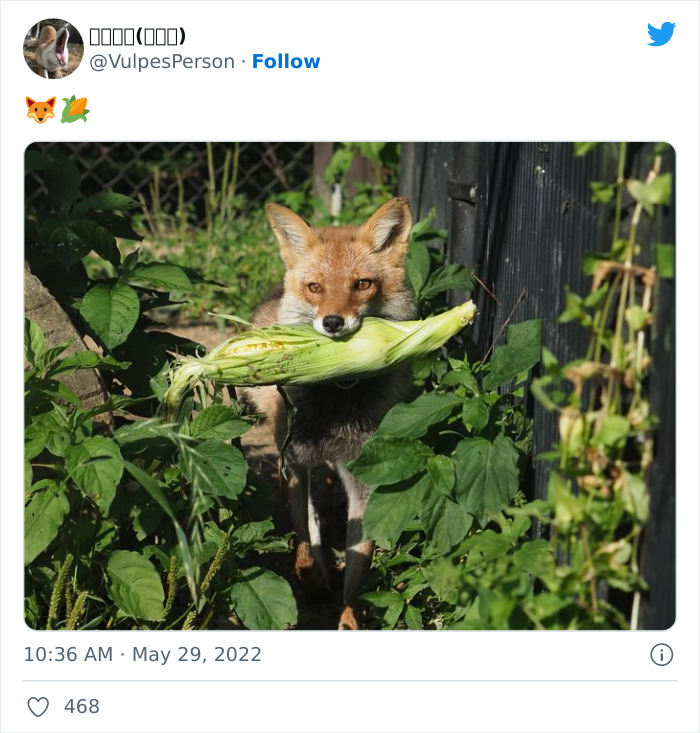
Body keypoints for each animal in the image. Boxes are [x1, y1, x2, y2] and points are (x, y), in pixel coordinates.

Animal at [245, 197, 416, 629]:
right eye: (315, 288)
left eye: (362, 284)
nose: (333, 322)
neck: (337, 401)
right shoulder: (292, 461)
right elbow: (302, 535)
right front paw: (309, 578)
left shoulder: (365, 478)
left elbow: (359, 566)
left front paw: (350, 618)